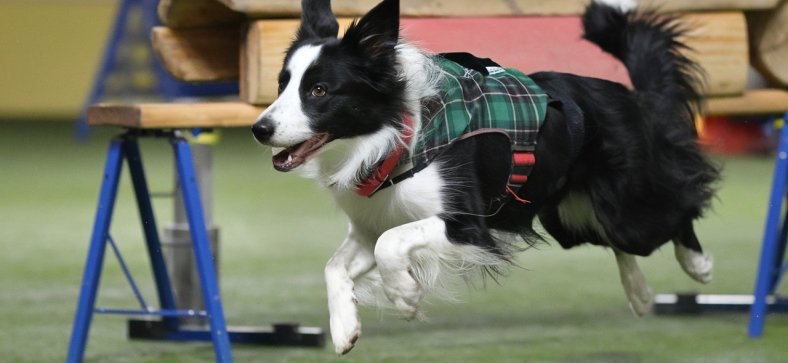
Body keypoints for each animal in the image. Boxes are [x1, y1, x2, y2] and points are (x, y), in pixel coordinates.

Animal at [252, 0, 720, 354]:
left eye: (319, 91)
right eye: (281, 84)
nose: (260, 129)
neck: (394, 135)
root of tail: (631, 96)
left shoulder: (468, 224)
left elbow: (393, 243)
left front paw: (405, 297)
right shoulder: (371, 222)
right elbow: (335, 266)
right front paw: (345, 328)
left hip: (627, 206)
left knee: (676, 209)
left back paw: (698, 266)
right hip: (565, 216)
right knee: (614, 242)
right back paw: (640, 295)